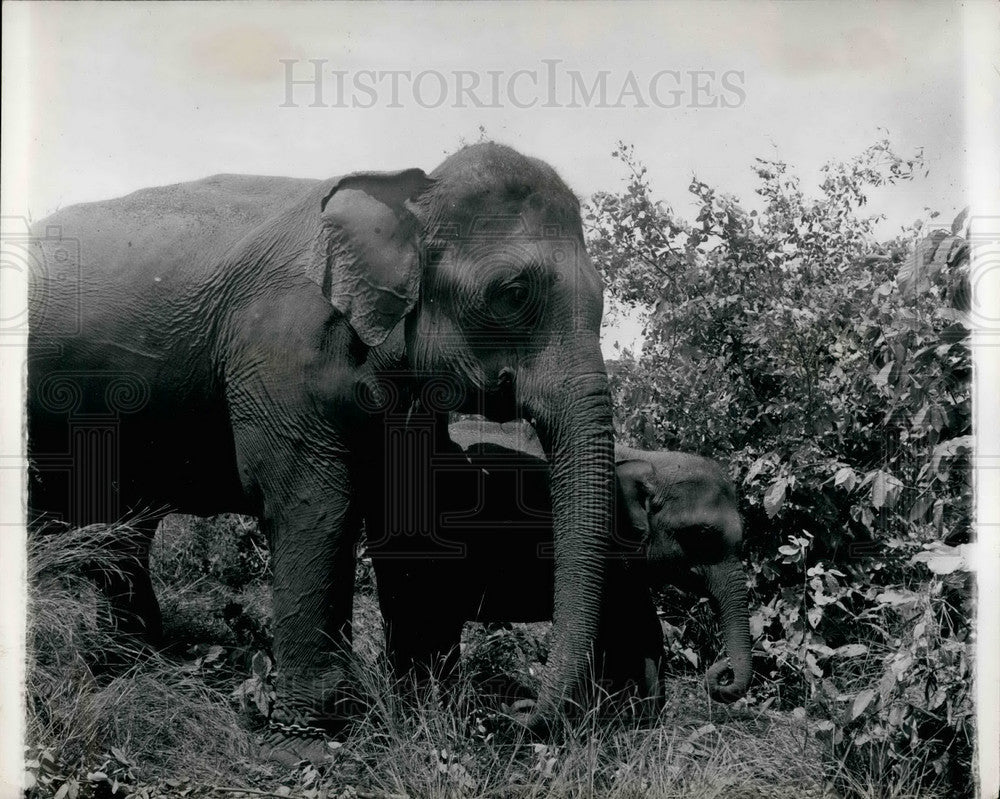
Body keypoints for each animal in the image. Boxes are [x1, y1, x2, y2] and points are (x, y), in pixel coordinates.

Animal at [25, 144, 616, 744]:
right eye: (513, 294)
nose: (512, 715)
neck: (409, 193)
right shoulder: (277, 350)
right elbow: (313, 503)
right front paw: (318, 728)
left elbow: (407, 516)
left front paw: (422, 706)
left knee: (125, 528)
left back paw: (134, 658)